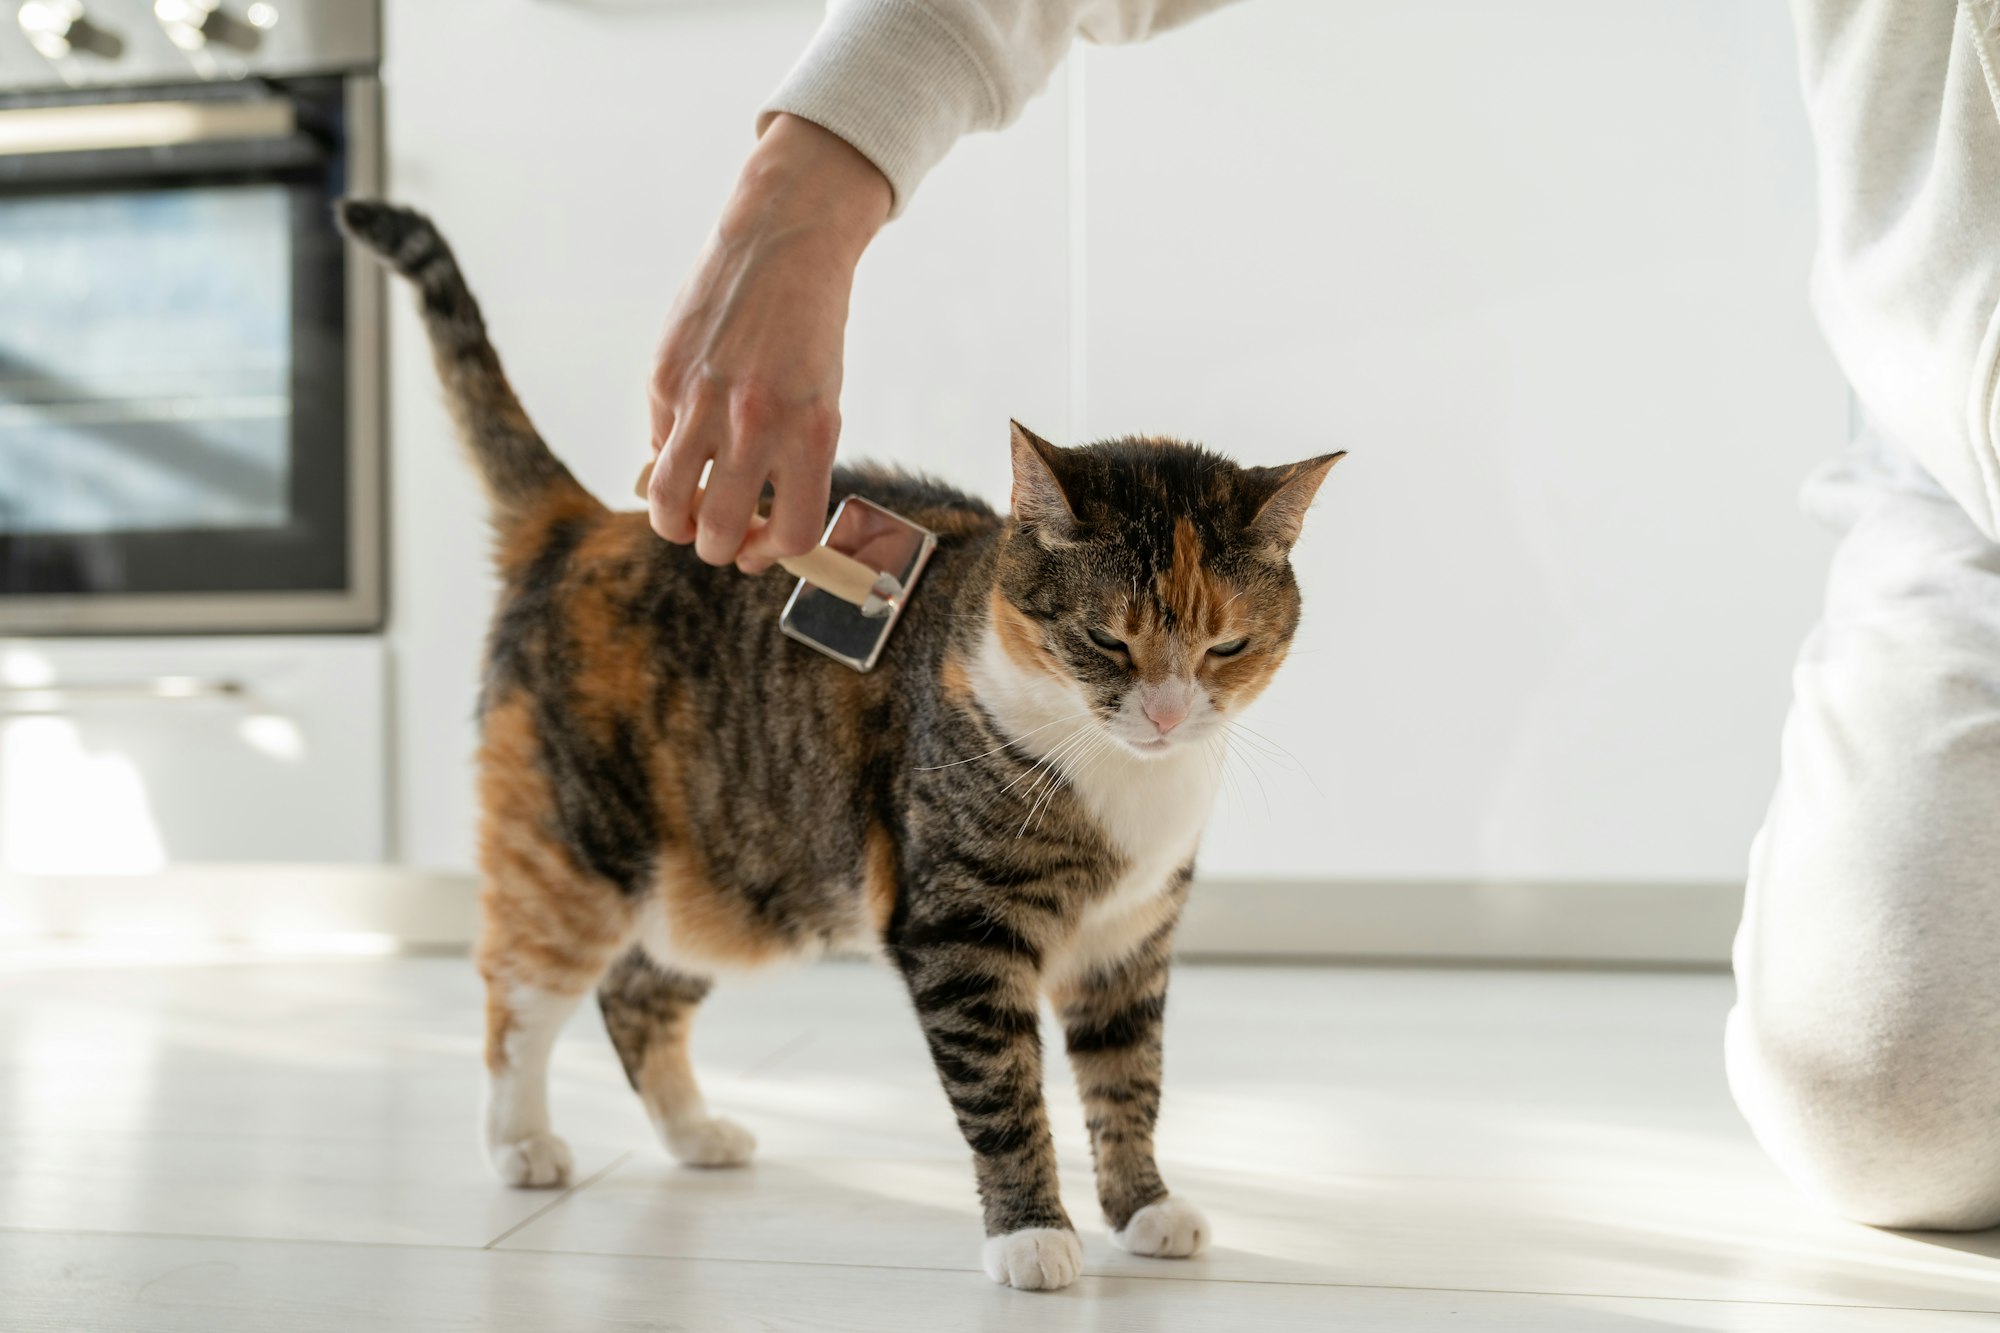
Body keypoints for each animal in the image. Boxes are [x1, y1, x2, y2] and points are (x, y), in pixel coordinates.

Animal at [336, 197, 1344, 1288]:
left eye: (1226, 645)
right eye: (1107, 639)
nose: (1165, 711)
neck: (1119, 776)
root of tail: (587, 521)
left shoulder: (1130, 940)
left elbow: (1129, 1079)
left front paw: (1144, 1206)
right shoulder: (961, 931)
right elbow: (1001, 1091)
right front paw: (1032, 1233)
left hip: (736, 872)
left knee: (637, 992)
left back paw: (695, 1133)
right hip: (576, 850)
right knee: (520, 992)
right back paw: (521, 1141)